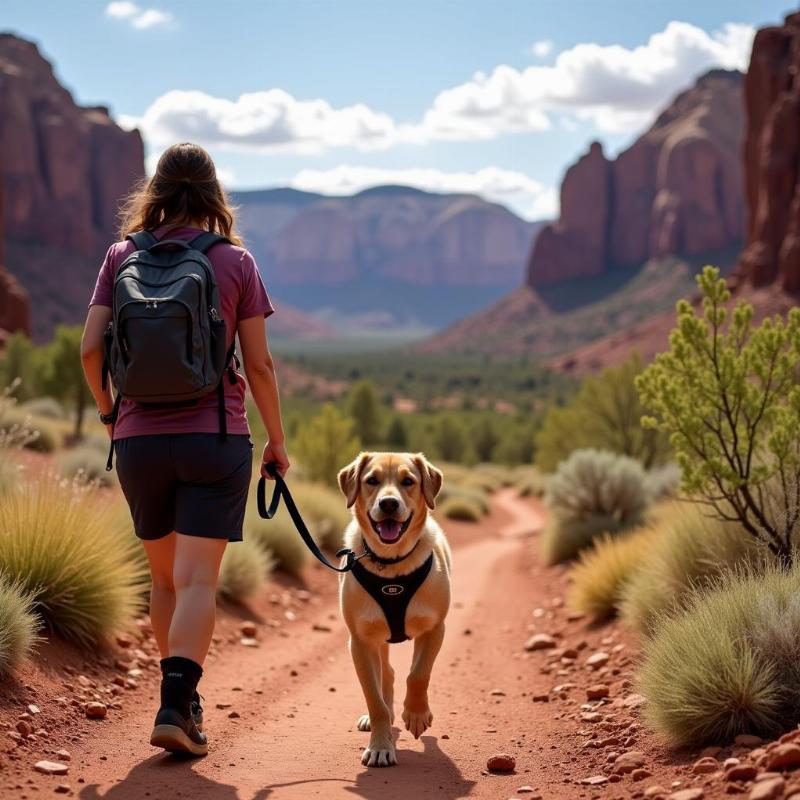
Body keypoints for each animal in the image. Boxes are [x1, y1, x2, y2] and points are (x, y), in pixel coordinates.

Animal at [336, 454, 450, 764]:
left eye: (408, 481)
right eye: (371, 480)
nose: (388, 503)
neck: (391, 565)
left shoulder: (435, 628)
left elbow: (418, 674)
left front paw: (417, 714)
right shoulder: (360, 642)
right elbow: (375, 699)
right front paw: (380, 746)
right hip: (377, 638)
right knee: (385, 674)